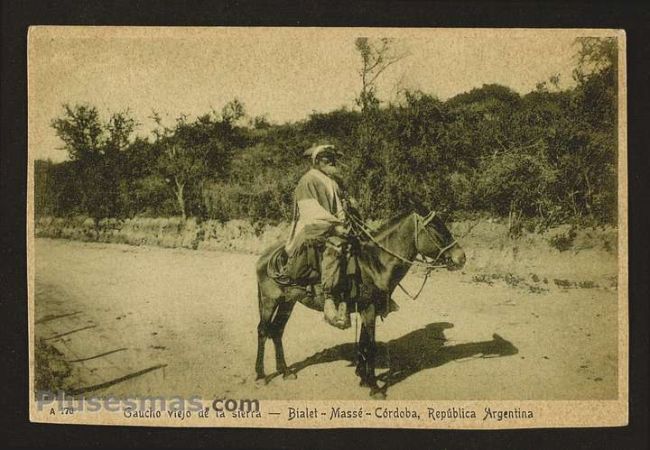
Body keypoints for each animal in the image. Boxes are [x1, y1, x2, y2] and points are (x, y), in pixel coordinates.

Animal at [254, 210, 466, 398]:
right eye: (435, 228)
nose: (461, 257)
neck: (375, 264)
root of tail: (266, 255)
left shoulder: (367, 310)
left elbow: (364, 343)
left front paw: (363, 378)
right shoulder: (369, 309)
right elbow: (370, 346)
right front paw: (375, 387)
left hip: (287, 302)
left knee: (277, 331)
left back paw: (285, 371)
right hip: (269, 301)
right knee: (263, 331)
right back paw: (261, 375)